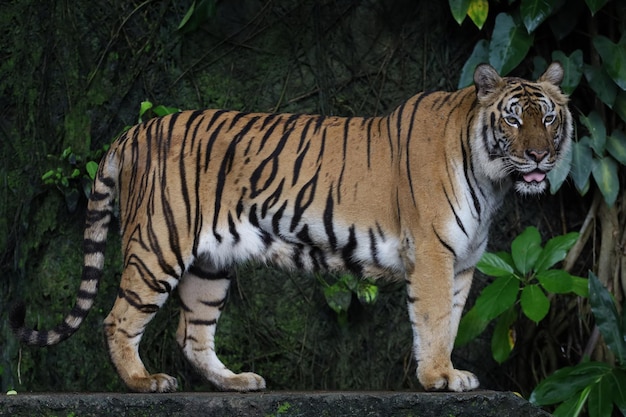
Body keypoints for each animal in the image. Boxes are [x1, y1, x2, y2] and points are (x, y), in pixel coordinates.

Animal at [9, 61, 572, 390]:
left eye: (548, 117)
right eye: (513, 119)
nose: (539, 155)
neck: (493, 180)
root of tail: (137, 129)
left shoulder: (462, 264)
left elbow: (450, 323)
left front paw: (447, 371)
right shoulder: (434, 256)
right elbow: (433, 322)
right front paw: (438, 376)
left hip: (210, 264)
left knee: (193, 334)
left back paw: (236, 382)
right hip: (158, 245)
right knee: (118, 319)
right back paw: (144, 382)